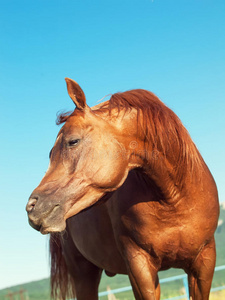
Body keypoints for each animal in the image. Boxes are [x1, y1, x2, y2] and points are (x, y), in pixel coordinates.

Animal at [25, 78, 219, 298]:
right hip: (83, 274)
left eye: (72, 141)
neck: (174, 200)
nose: (32, 208)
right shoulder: (139, 267)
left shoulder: (204, 262)